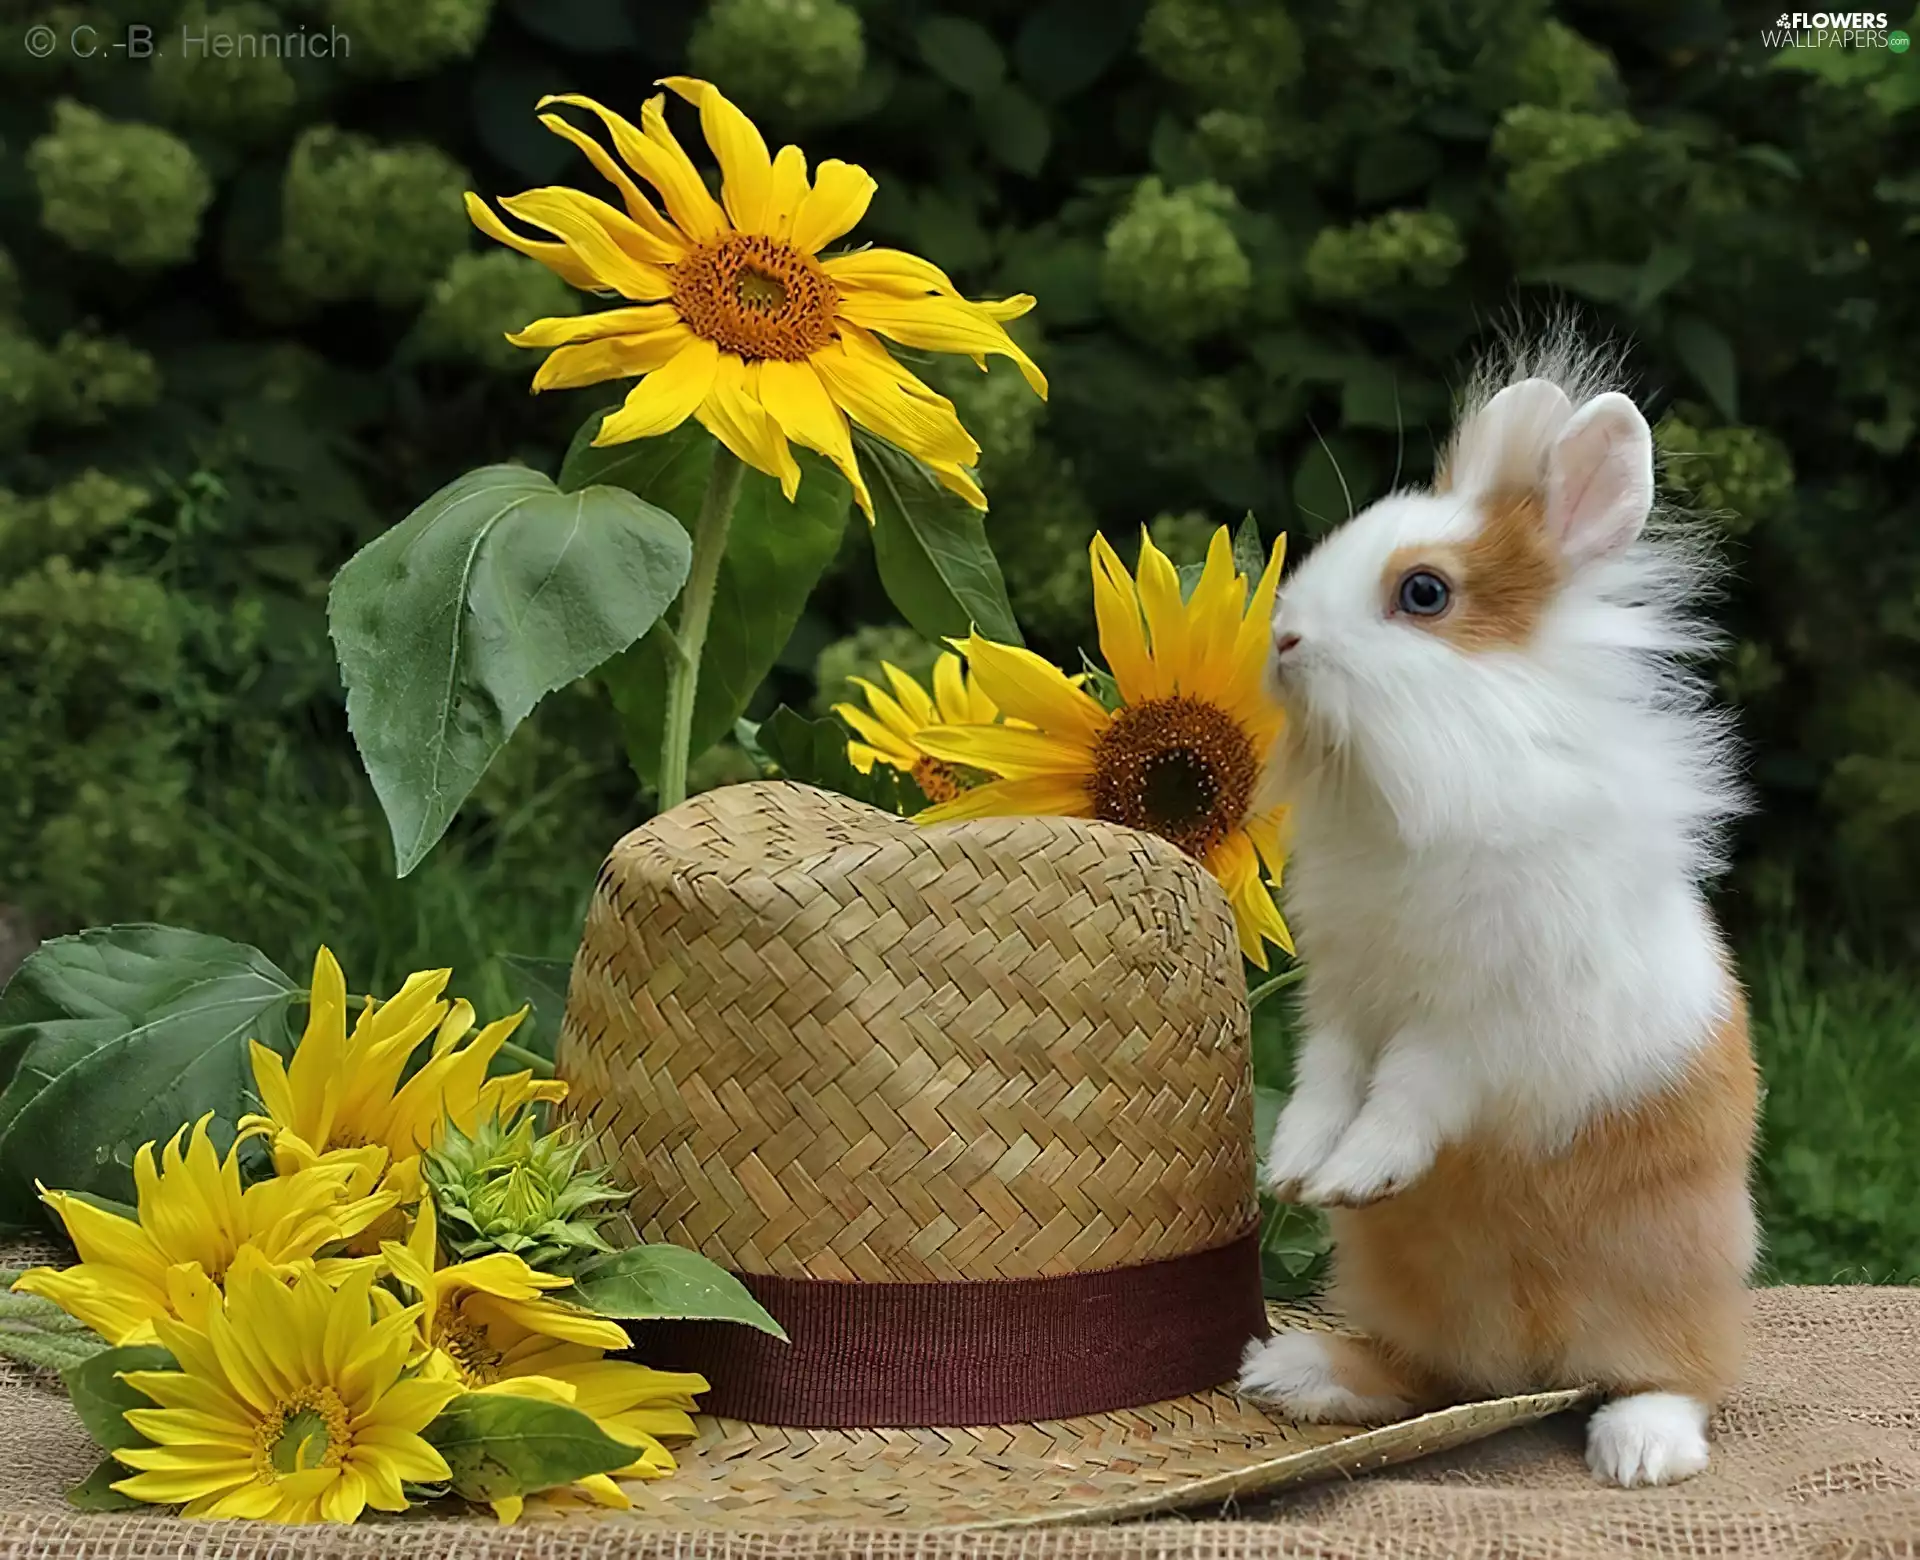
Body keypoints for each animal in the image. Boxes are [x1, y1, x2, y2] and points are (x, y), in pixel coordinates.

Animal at [1236, 329, 1759, 1489]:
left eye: (1424, 593)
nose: (1284, 641)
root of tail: (1531, 1355)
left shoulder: (1483, 1024)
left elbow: (1409, 1096)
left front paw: (1357, 1173)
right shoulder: (1343, 1002)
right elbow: (1326, 1083)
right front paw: (1295, 1171)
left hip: (1674, 1271)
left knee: (1679, 1374)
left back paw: (1640, 1452)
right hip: (1405, 1293)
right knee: (1427, 1378)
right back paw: (1299, 1374)